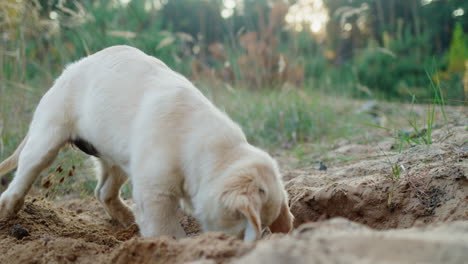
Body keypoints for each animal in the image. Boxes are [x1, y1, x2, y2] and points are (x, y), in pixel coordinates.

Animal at [0, 46, 292, 241]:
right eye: (243, 222)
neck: (208, 153)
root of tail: (66, 72)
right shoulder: (154, 190)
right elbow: (165, 230)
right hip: (48, 134)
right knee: (23, 176)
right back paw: (7, 212)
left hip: (117, 158)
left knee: (103, 191)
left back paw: (127, 220)